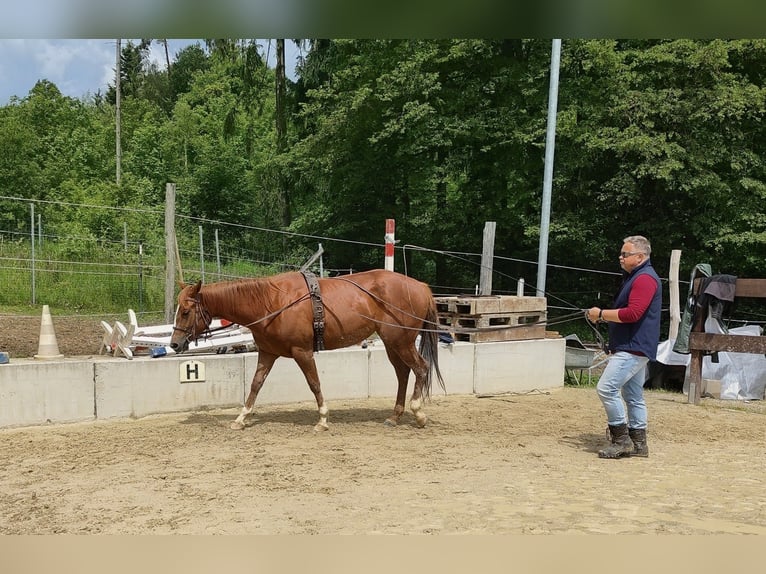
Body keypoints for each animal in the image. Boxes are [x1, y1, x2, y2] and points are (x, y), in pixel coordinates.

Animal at [170, 269, 445, 431]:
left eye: (186, 311)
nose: (174, 344)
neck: (271, 302)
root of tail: (420, 286)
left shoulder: (302, 352)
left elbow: (314, 383)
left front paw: (322, 419)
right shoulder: (267, 353)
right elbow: (256, 384)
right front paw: (241, 417)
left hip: (402, 342)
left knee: (420, 369)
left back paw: (418, 413)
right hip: (393, 343)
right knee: (403, 373)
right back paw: (395, 415)